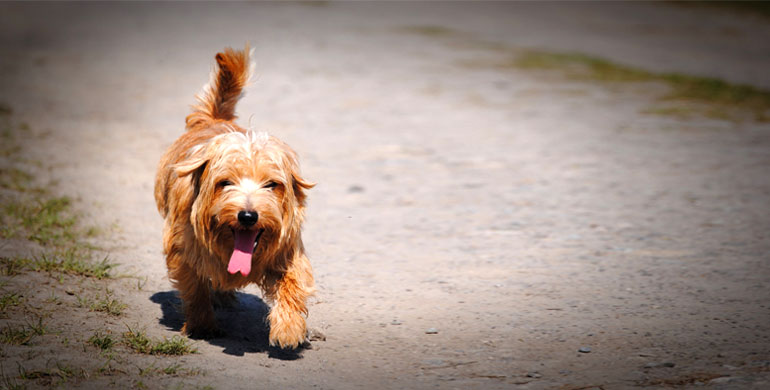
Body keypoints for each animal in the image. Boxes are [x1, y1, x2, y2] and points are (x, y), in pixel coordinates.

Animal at [152, 46, 312, 350]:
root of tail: (214, 119)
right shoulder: (182, 250)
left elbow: (293, 283)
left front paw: (288, 328)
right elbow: (195, 287)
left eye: (271, 185)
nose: (248, 215)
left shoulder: (287, 251)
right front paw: (201, 324)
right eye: (225, 183)